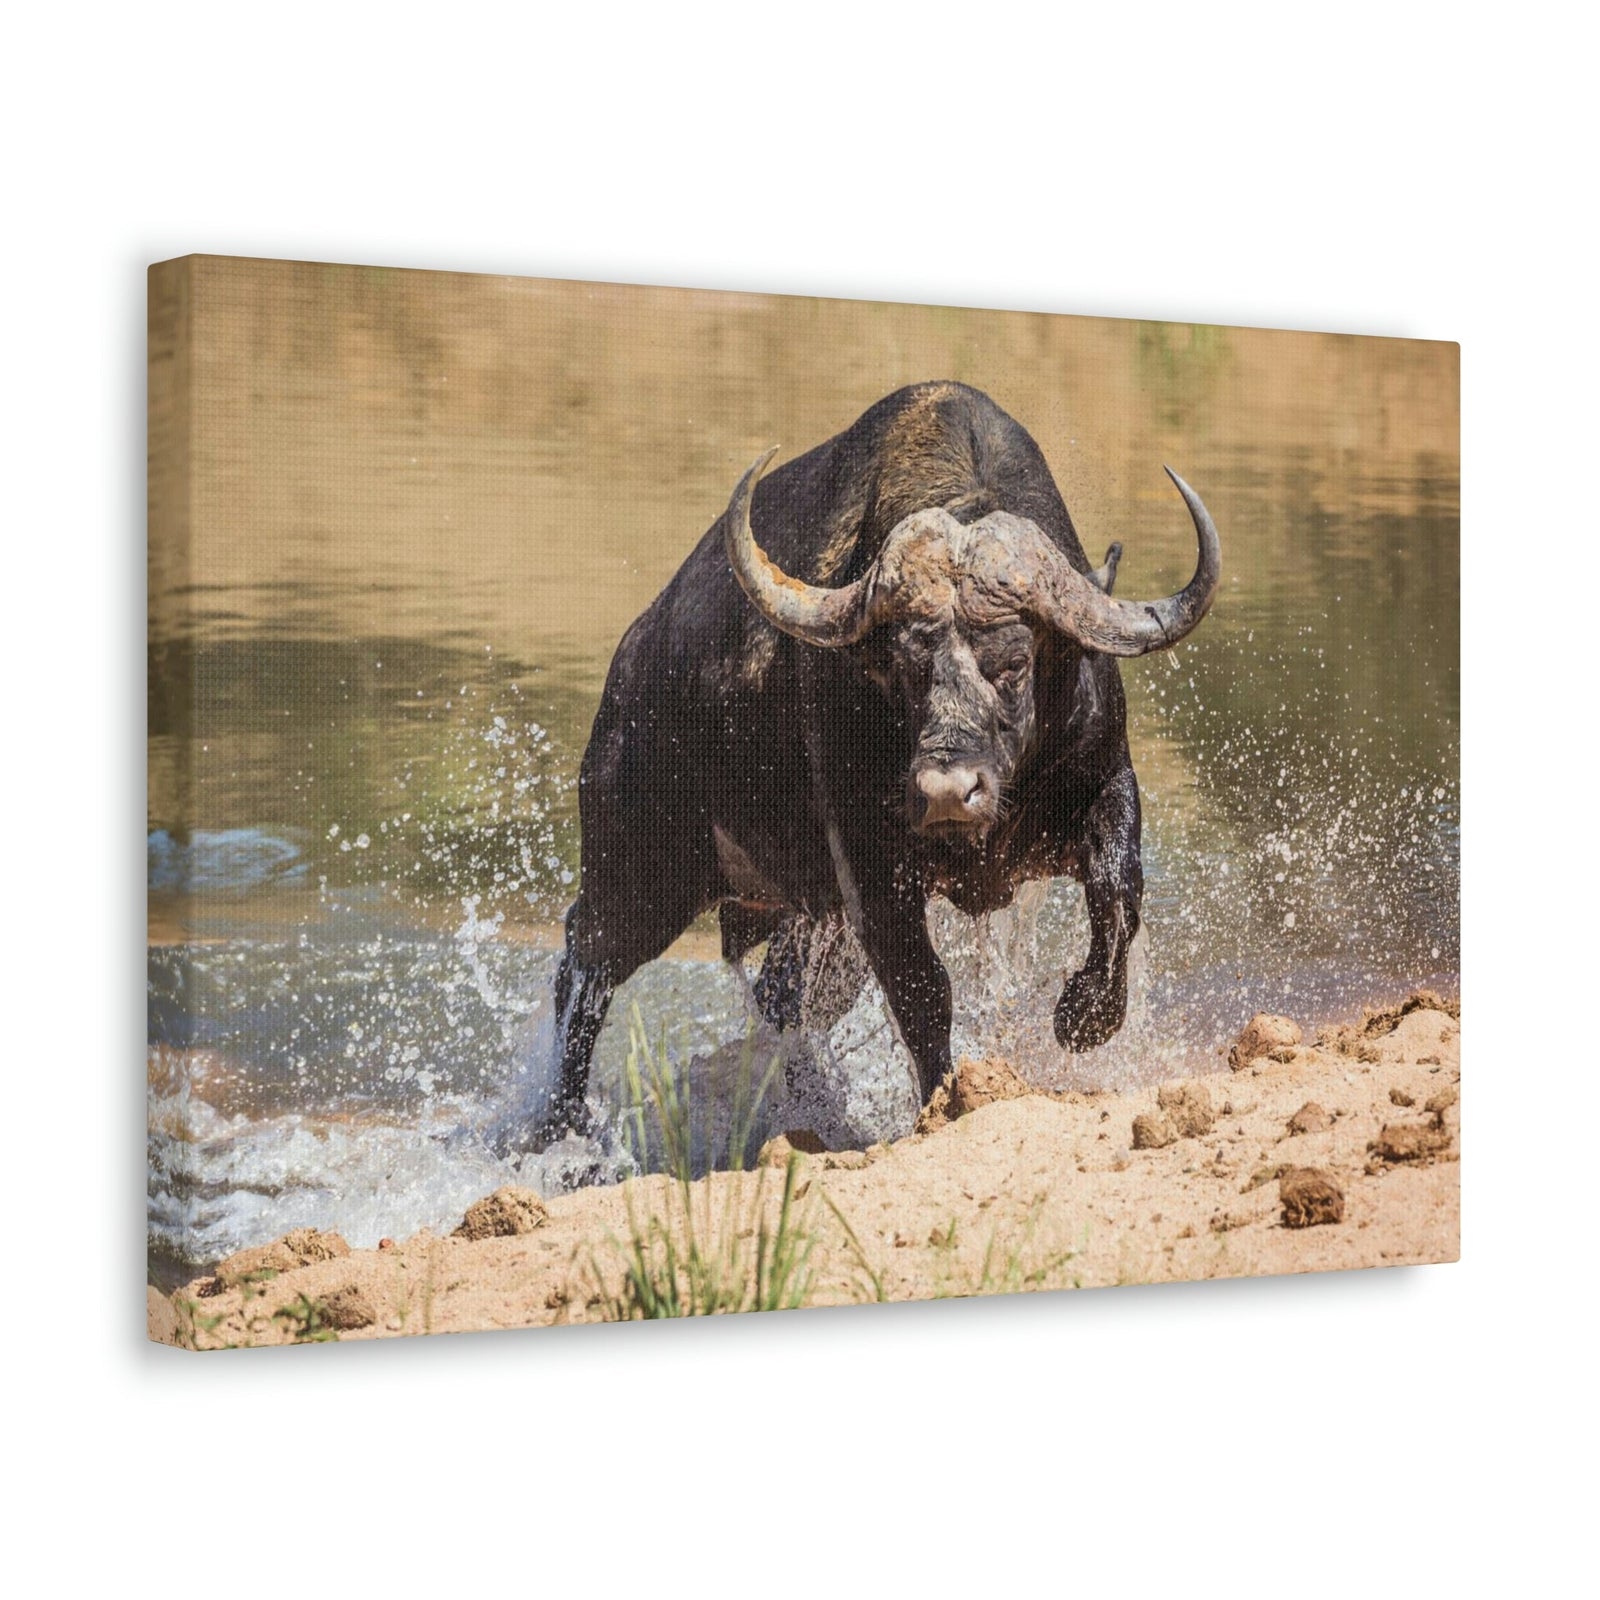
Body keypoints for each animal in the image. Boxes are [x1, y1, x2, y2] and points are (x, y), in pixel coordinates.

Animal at [541, 381, 1219, 1136]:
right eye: (902, 668)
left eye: (1013, 663)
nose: (948, 791)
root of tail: (631, 664)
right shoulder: (870, 863)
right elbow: (922, 989)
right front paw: (945, 1099)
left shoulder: (1103, 781)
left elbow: (1118, 895)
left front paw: (1084, 1016)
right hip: (640, 872)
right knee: (584, 967)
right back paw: (561, 1127)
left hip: (806, 917)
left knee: (780, 997)